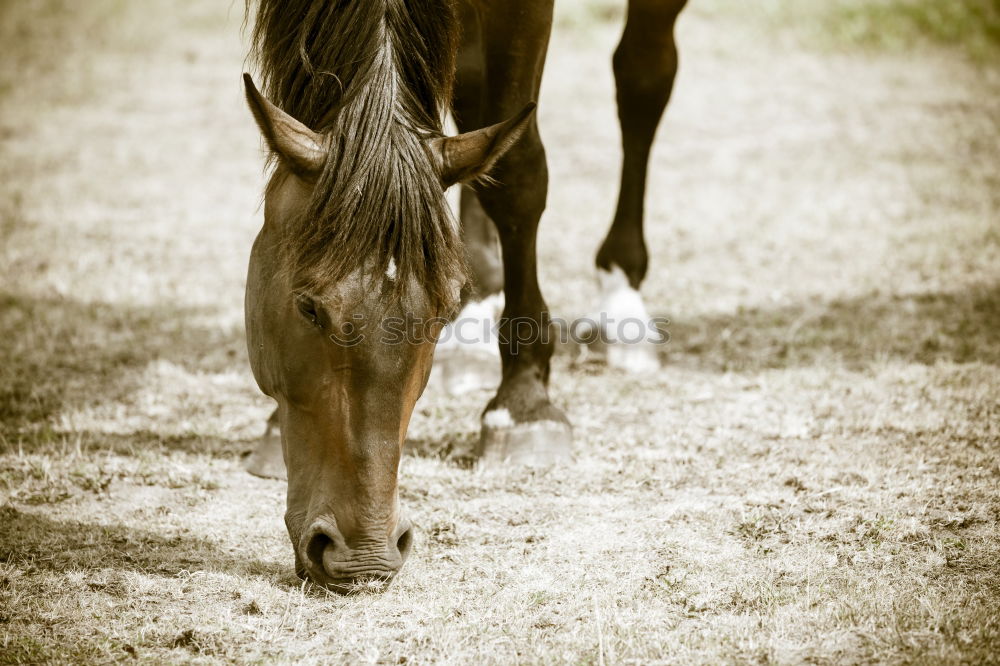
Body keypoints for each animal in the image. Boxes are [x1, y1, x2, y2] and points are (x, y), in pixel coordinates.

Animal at [244, 0, 688, 592]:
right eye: (308, 307)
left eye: (442, 312)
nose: (365, 557)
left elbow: (519, 170)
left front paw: (524, 401)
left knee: (641, 75)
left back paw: (620, 302)